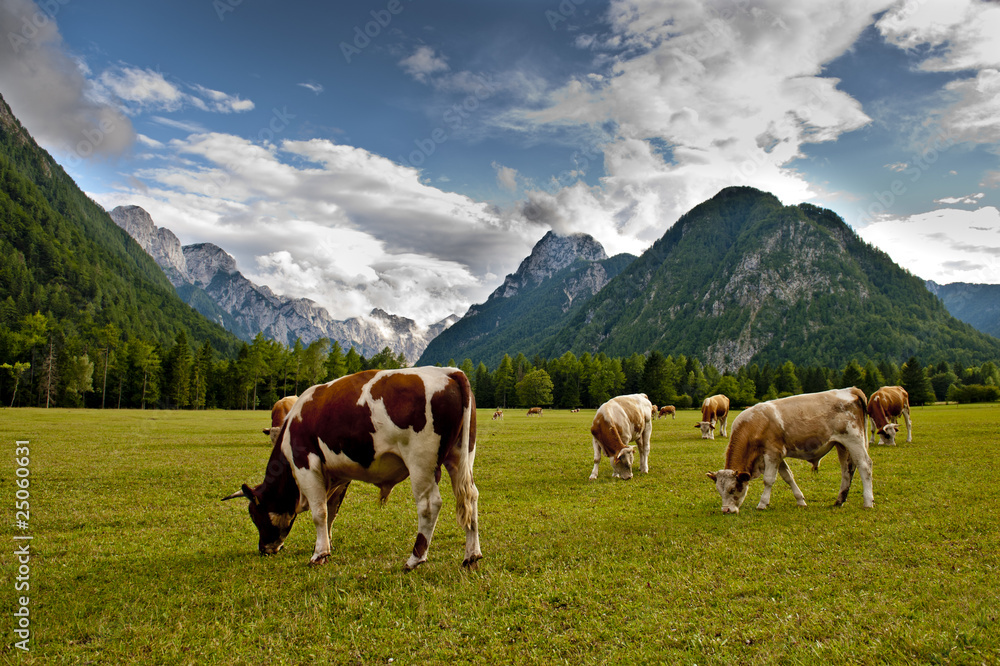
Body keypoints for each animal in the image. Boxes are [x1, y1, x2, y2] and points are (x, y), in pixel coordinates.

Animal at [225, 366, 482, 568]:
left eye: (254, 515)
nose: (264, 549)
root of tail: (448, 372)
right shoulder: (338, 475)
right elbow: (331, 511)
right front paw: (327, 545)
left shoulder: (305, 464)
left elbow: (319, 512)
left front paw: (318, 554)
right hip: (460, 457)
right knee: (470, 497)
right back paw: (471, 554)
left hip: (421, 463)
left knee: (429, 505)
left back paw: (415, 559)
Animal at [704, 386, 876, 510]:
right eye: (719, 490)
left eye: (733, 489)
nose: (726, 510)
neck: (754, 425)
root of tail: (851, 390)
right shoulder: (777, 455)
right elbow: (788, 476)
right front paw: (800, 500)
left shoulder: (773, 453)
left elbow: (768, 480)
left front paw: (762, 503)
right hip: (842, 445)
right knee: (847, 469)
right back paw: (839, 500)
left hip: (854, 440)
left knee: (865, 466)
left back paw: (868, 502)